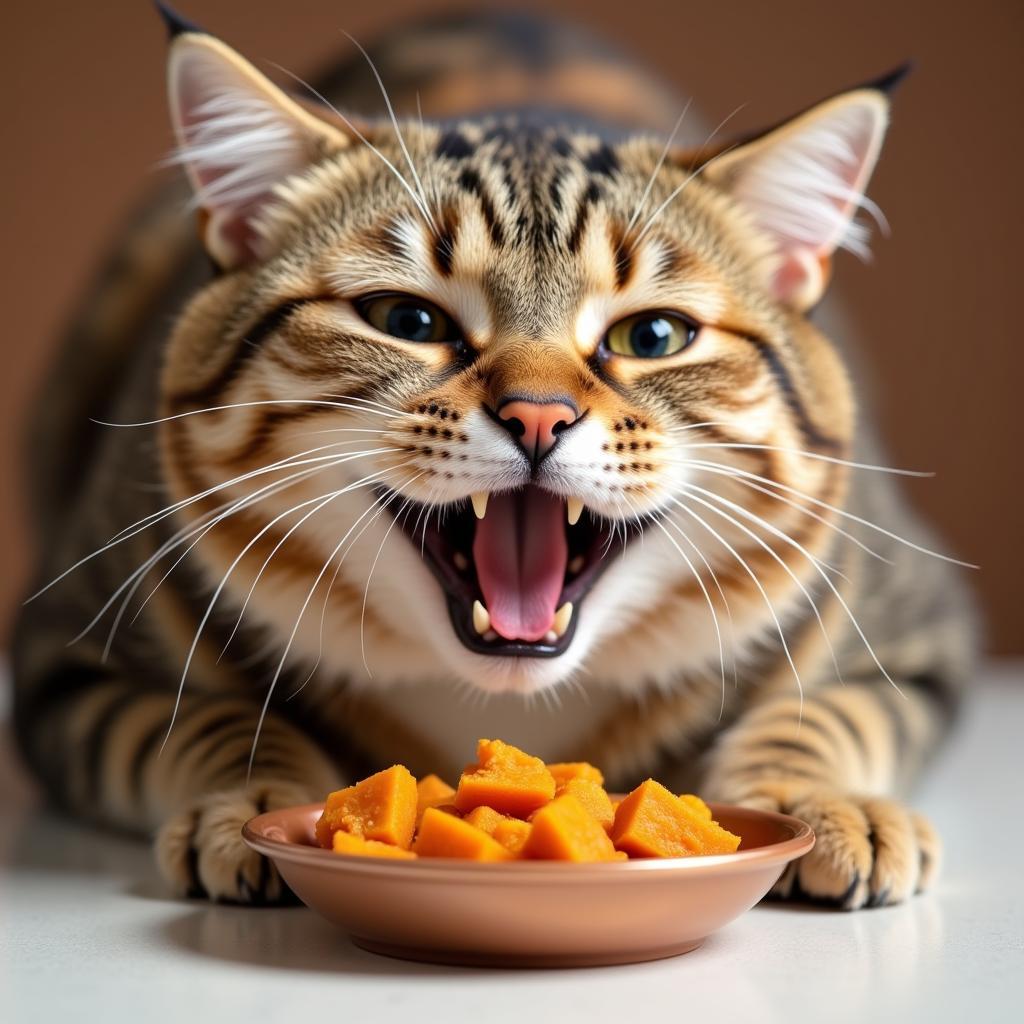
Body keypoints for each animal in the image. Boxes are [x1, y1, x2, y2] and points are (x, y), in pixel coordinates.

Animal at [14, 6, 974, 905]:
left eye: (654, 336)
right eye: (407, 320)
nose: (538, 416)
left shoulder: (916, 633)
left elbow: (826, 718)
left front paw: (822, 806)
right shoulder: (63, 660)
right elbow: (205, 723)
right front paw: (259, 802)